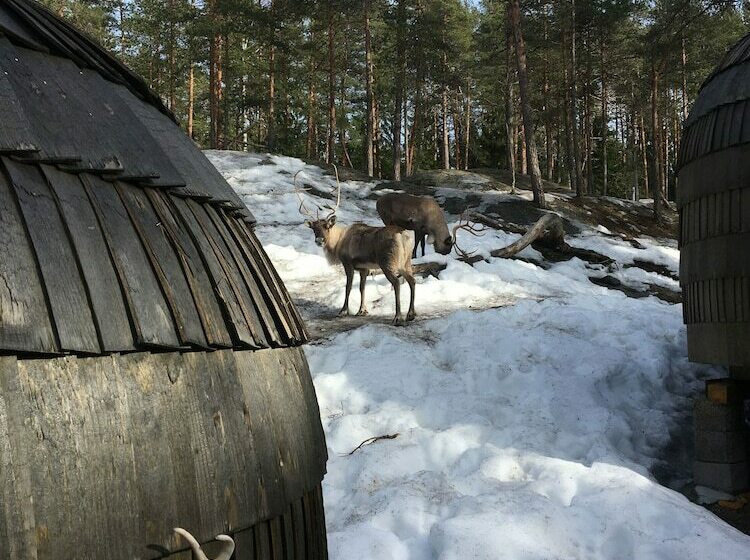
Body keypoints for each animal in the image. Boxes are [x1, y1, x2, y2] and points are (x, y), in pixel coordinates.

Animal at [296, 167, 417, 325]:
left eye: (327, 226)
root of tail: (402, 235)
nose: (319, 240)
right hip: (406, 261)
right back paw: (411, 314)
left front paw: (343, 310)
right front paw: (362, 310)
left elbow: (348, 287)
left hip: (388, 262)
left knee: (397, 283)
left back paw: (397, 317)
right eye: (314, 228)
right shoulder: (364, 268)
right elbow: (361, 288)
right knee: (412, 281)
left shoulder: (347, 263)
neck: (337, 243)